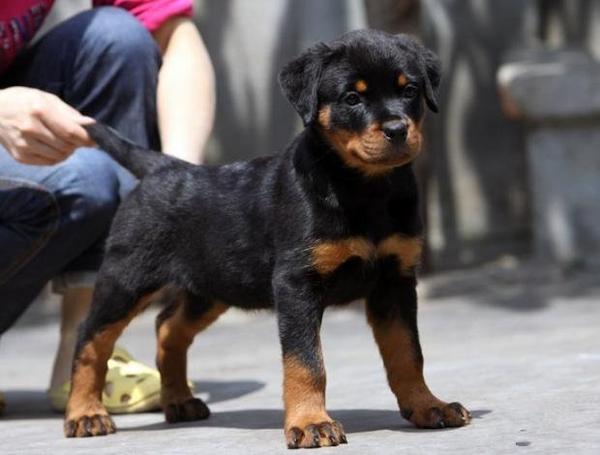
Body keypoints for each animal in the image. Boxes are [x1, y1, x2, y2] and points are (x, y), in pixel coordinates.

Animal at [64, 29, 468, 448]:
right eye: (352, 99)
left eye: (410, 90)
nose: (397, 129)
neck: (365, 189)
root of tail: (161, 166)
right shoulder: (296, 284)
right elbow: (306, 361)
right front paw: (311, 423)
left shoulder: (396, 280)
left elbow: (408, 352)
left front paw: (428, 405)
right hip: (126, 278)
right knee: (91, 339)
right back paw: (85, 414)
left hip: (212, 285)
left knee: (168, 327)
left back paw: (178, 401)